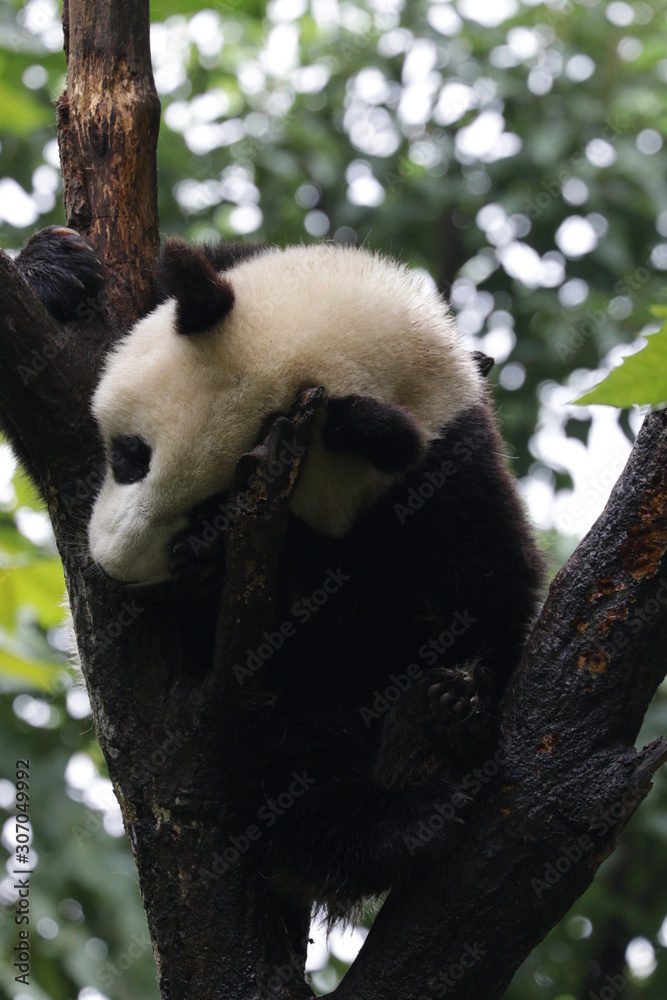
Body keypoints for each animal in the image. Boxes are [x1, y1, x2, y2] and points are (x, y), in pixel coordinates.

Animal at [15, 226, 543, 914]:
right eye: (132, 456)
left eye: (212, 518)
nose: (113, 565)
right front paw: (56, 269)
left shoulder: (443, 489)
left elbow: (468, 602)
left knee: (287, 749)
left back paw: (402, 797)